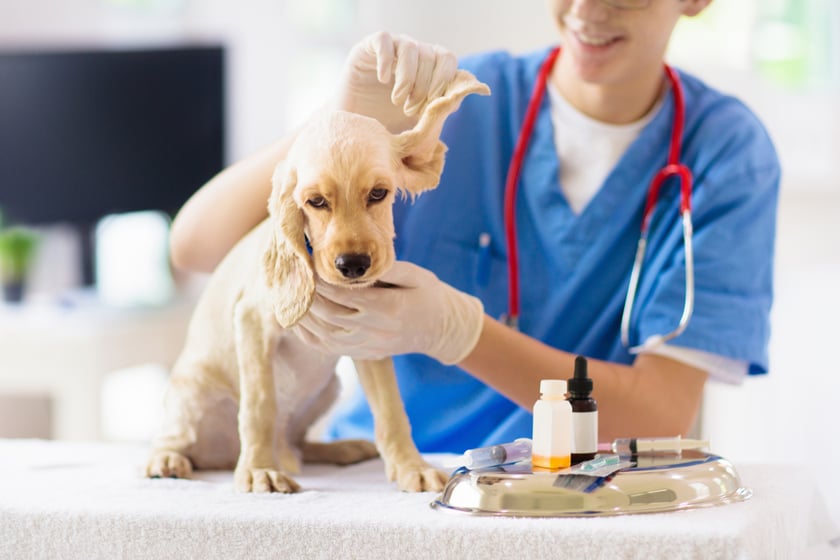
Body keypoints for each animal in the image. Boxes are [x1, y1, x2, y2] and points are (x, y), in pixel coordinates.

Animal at [143, 71, 486, 494]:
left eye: (379, 193)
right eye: (316, 202)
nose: (353, 265)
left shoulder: (370, 342)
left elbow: (391, 410)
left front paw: (411, 466)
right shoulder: (252, 321)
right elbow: (259, 406)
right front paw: (258, 470)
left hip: (327, 391)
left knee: (300, 444)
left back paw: (343, 449)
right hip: (191, 393)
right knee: (175, 437)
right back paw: (168, 459)